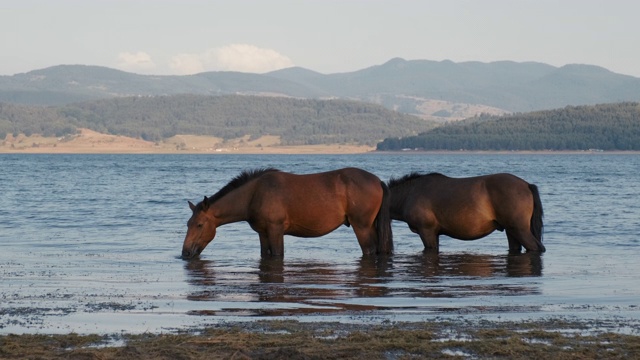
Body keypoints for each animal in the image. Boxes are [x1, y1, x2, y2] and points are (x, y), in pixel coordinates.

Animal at [179, 167, 390, 260]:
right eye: (188, 224)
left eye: (199, 224)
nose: (185, 252)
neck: (255, 193)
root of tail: (377, 180)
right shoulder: (263, 233)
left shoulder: (275, 230)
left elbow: (277, 254)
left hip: (361, 226)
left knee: (370, 250)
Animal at [384, 172, 544, 253]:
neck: (409, 194)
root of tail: (527, 185)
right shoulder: (435, 233)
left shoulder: (426, 231)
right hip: (511, 231)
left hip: (520, 230)